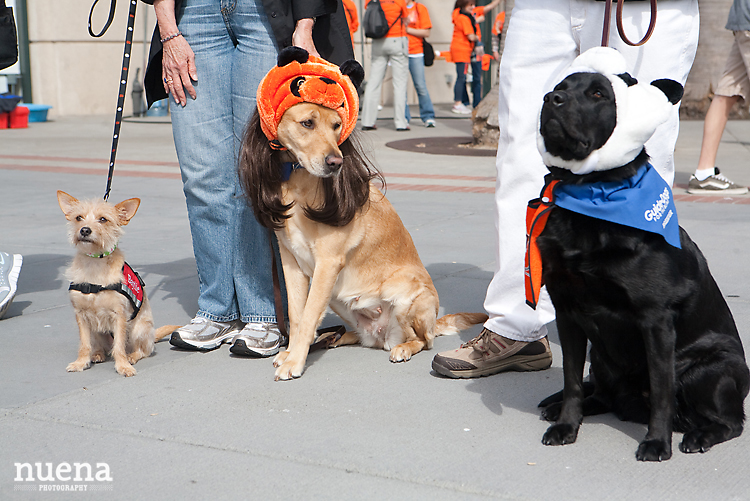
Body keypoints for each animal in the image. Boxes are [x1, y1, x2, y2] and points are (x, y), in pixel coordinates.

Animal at [58, 190, 177, 376]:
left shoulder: (119, 316)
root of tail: (152, 335)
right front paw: (80, 363)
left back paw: (131, 356)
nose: (85, 230)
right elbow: (84, 345)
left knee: (143, 350)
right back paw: (98, 354)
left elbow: (119, 346)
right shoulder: (81, 316)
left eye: (103, 219)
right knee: (100, 346)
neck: (95, 265)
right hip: (96, 331)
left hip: (138, 330)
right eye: (79, 218)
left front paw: (123, 366)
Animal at [241, 48, 488, 380]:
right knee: (359, 335)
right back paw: (335, 338)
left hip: (407, 295)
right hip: (340, 299)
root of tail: (383, 336)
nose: (336, 162)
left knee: (423, 340)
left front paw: (295, 361)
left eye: (336, 125)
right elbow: (298, 314)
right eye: (307, 123)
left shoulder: (327, 263)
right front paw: (292, 353)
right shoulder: (290, 261)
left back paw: (402, 348)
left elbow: (308, 316)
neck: (298, 181)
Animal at [536, 65, 750, 460]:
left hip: (711, 369)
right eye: (560, 86)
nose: (550, 98)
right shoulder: (567, 310)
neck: (593, 195)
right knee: (599, 394)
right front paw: (567, 426)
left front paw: (656, 442)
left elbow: (662, 392)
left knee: (731, 422)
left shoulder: (655, 319)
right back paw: (560, 408)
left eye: (598, 94)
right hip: (601, 360)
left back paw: (699, 435)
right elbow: (572, 380)